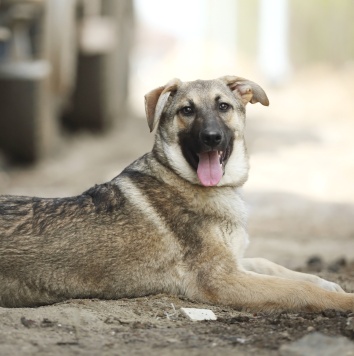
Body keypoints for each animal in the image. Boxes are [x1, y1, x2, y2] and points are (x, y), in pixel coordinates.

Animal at [0, 76, 354, 312]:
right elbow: (298, 289)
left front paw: (325, 280)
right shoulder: (221, 279)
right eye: (186, 110)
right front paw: (342, 299)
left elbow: (276, 267)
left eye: (223, 106)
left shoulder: (234, 261)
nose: (211, 138)